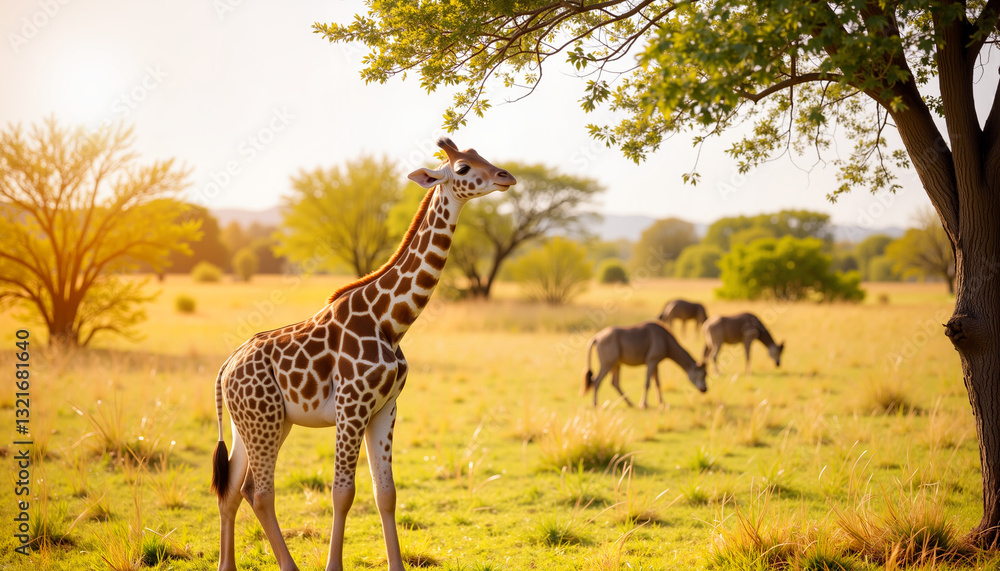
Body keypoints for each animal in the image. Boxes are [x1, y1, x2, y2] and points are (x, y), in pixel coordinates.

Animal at [210, 138, 516, 571]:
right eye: (462, 168)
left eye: (480, 155)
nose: (506, 177)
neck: (390, 320)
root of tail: (225, 368)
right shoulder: (351, 407)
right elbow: (343, 492)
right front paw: (333, 566)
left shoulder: (385, 407)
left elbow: (385, 492)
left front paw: (397, 566)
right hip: (262, 421)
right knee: (259, 491)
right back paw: (289, 566)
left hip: (257, 423)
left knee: (233, 490)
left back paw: (228, 566)